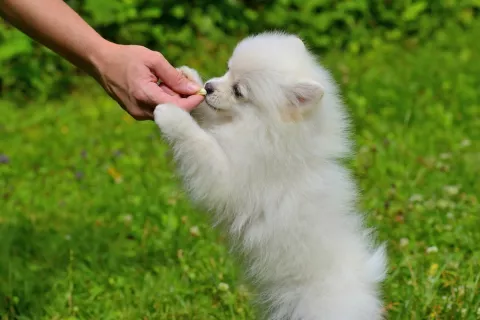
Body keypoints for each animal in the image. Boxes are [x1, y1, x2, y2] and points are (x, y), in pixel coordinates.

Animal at [154, 32, 386, 320]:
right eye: (228, 69)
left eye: (239, 91)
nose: (208, 86)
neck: (266, 130)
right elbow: (208, 117)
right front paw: (189, 79)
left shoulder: (228, 176)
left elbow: (200, 143)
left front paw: (170, 115)